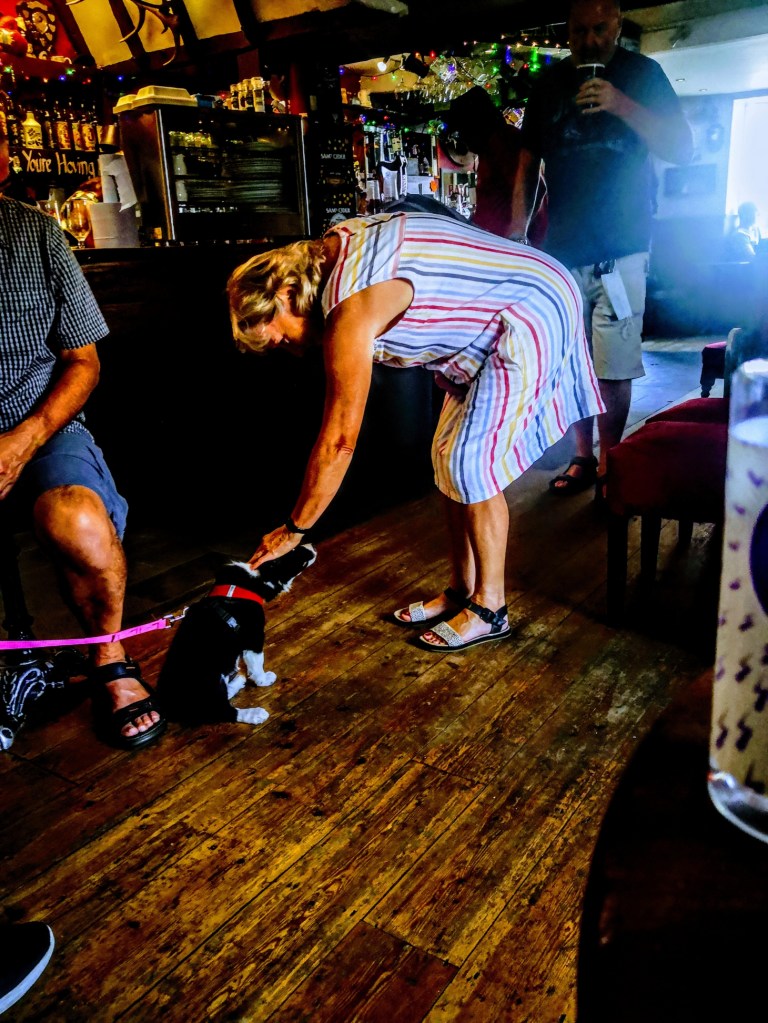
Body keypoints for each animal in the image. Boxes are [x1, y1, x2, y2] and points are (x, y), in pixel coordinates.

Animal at [157, 544, 316, 725]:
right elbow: (257, 663)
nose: (311, 545)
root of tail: (169, 709)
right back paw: (254, 714)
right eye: (293, 552)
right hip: (211, 680)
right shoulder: (253, 637)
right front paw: (263, 680)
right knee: (220, 710)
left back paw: (237, 682)